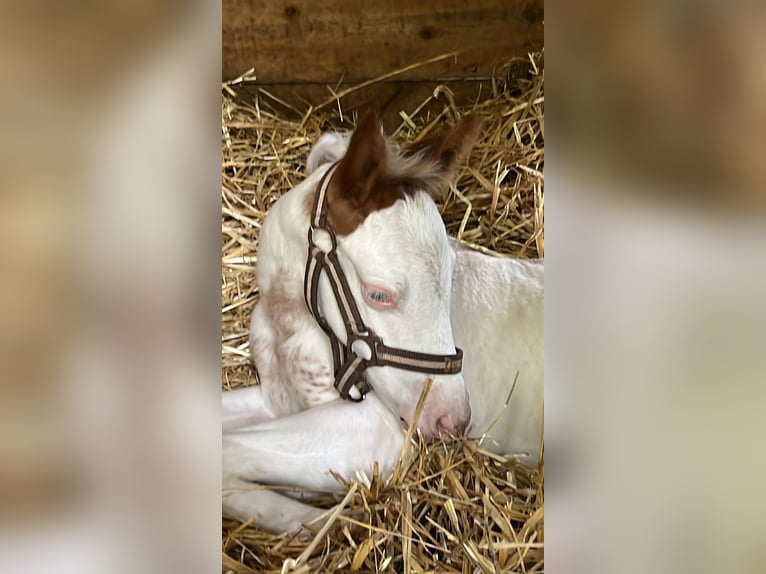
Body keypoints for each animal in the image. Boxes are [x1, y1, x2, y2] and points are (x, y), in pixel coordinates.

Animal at [222, 113, 544, 533]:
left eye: (449, 281)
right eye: (378, 295)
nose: (452, 421)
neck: (286, 324)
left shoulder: (382, 431)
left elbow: (225, 449)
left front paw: (317, 519)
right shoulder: (278, 400)